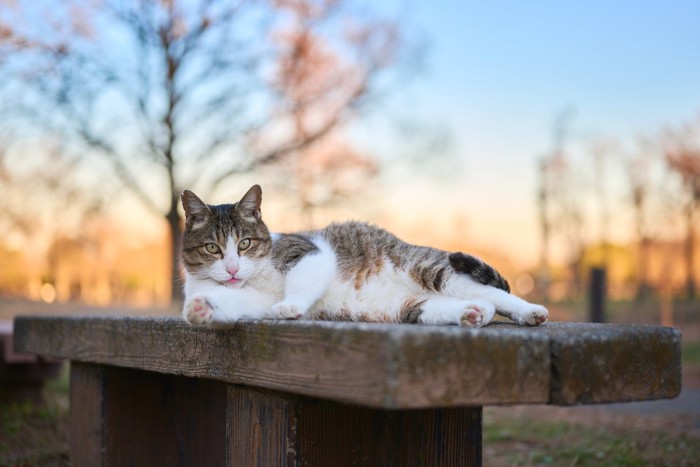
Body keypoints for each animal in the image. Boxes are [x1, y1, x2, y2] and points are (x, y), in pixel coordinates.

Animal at [179, 186, 548, 330]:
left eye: (244, 244)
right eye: (212, 248)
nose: (231, 268)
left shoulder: (308, 252)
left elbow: (302, 282)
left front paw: (290, 305)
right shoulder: (250, 301)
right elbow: (230, 303)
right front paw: (201, 309)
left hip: (433, 269)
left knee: (496, 294)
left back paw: (530, 312)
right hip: (415, 307)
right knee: (472, 304)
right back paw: (473, 314)